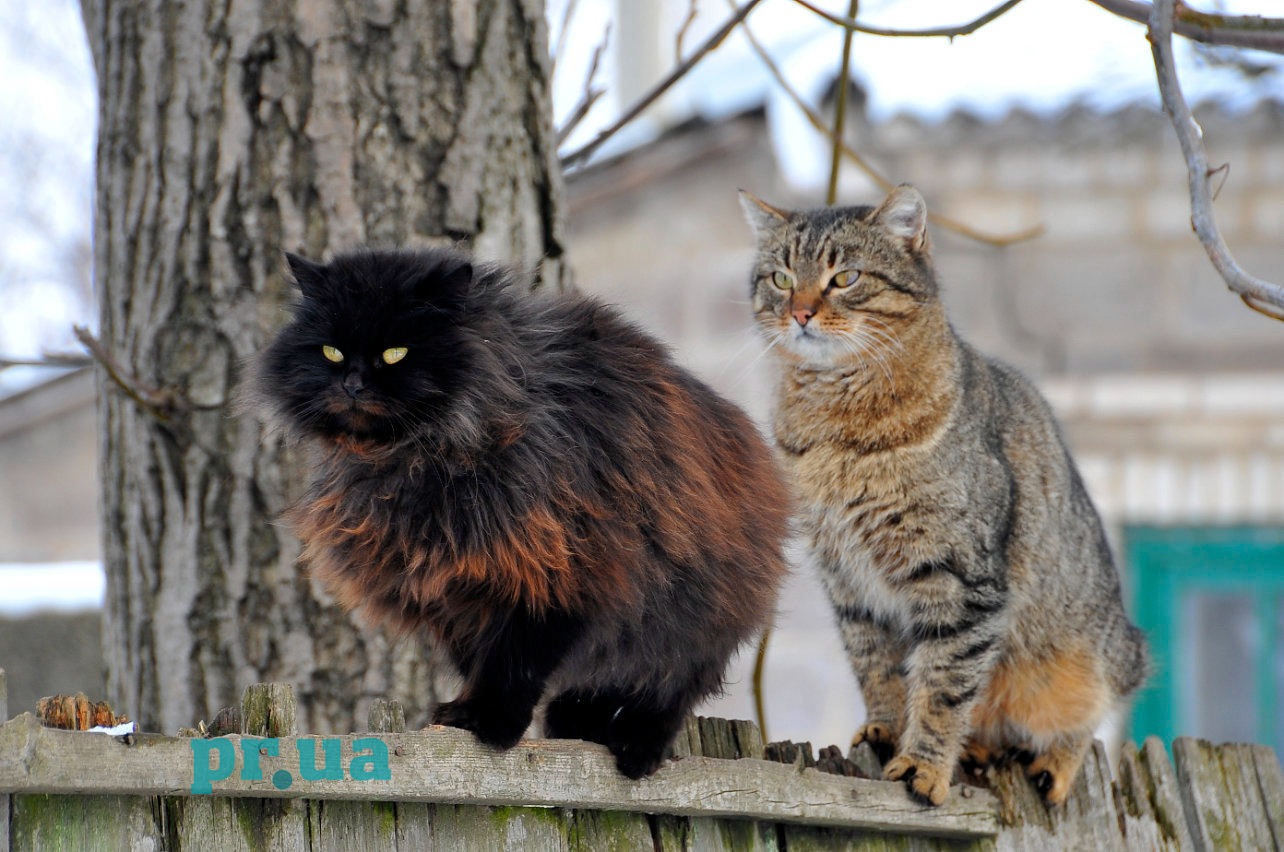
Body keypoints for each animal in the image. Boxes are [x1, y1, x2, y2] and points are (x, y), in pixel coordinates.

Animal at [236, 247, 785, 780]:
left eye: (396, 353)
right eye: (330, 351)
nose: (351, 383)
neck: (412, 458)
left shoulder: (558, 573)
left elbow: (514, 663)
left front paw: (489, 723)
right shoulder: (457, 597)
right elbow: (483, 661)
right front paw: (473, 713)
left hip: (693, 614)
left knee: (669, 687)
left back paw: (636, 749)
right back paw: (577, 724)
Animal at [739, 186, 1150, 805]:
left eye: (845, 277)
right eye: (782, 278)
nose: (800, 313)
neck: (836, 423)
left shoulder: (959, 578)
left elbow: (944, 683)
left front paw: (924, 764)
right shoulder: (847, 578)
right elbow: (877, 665)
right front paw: (887, 726)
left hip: (1085, 662)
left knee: (1086, 716)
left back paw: (1055, 760)